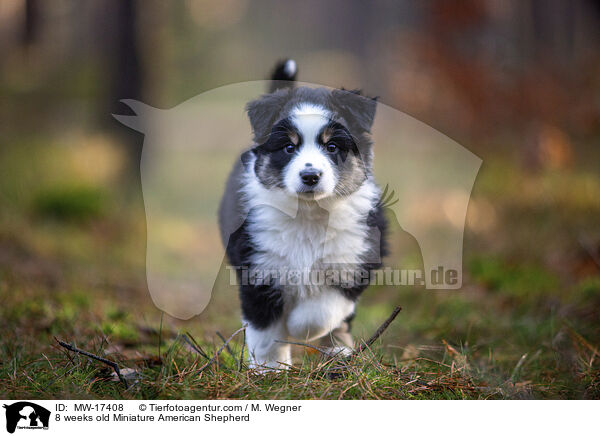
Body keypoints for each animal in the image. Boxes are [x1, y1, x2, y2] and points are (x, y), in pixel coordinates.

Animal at [218, 60, 386, 368]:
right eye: (288, 147)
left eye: (332, 147)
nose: (310, 176)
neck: (309, 214)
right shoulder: (258, 268)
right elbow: (264, 331)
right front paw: (269, 370)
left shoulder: (356, 259)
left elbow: (322, 310)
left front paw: (298, 329)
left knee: (340, 322)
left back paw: (339, 352)